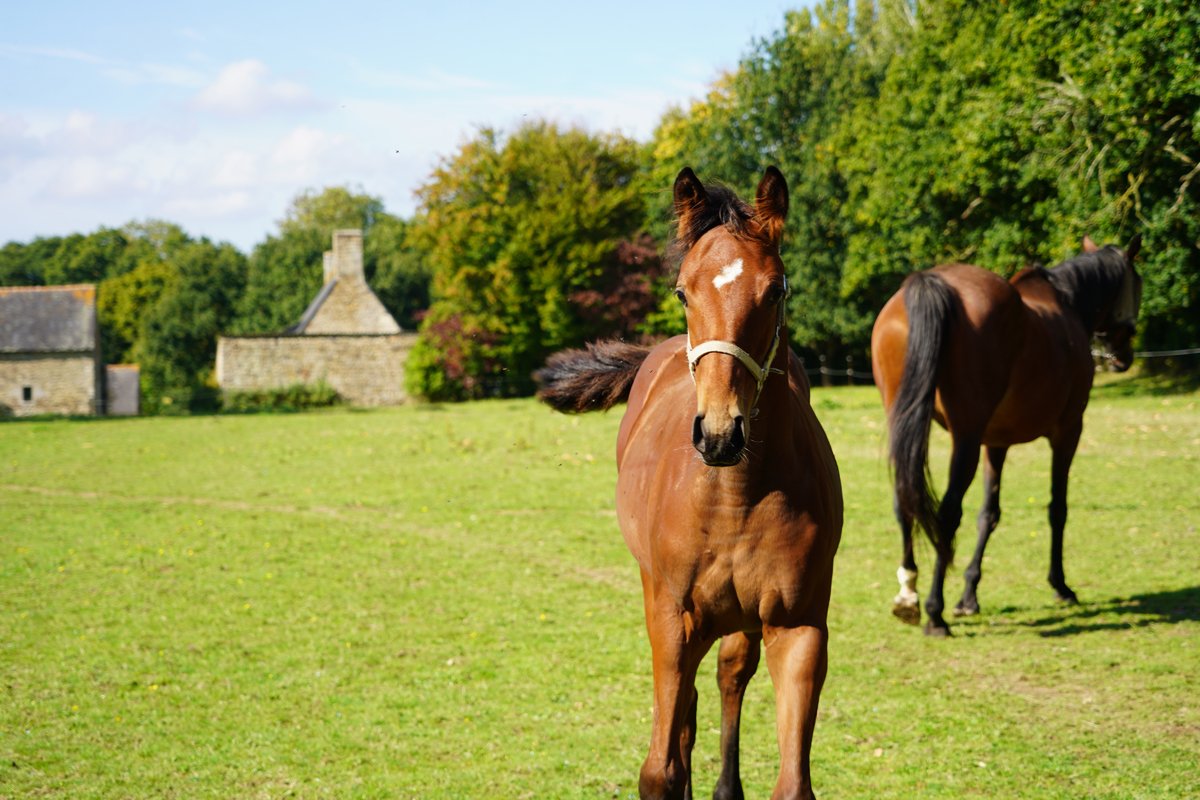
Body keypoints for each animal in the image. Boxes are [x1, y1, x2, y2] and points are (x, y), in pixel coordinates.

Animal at [537, 167, 842, 800]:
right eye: (683, 291)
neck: (734, 498)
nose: (720, 432)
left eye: (776, 291)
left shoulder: (797, 627)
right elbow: (661, 768)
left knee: (727, 678)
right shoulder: (672, 618)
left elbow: (791, 780)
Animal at [871, 235, 1142, 636]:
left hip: (905, 423)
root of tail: (933, 283)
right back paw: (934, 612)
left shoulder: (995, 443)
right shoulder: (1068, 432)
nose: (1123, 357)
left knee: (904, 500)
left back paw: (909, 595)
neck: (1067, 302)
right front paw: (1061, 585)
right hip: (966, 439)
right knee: (948, 513)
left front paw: (969, 595)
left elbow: (989, 514)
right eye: (1137, 285)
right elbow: (1057, 509)